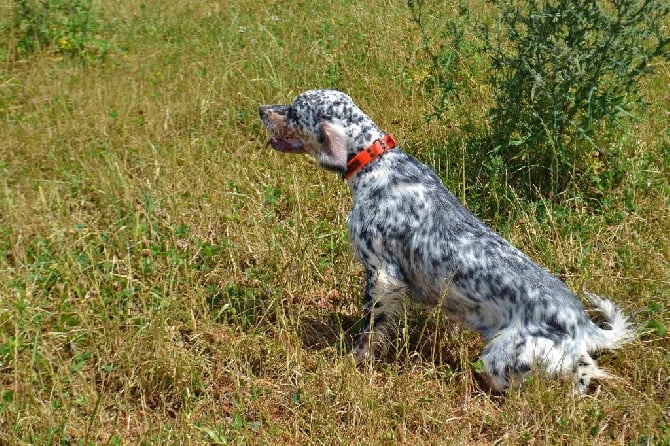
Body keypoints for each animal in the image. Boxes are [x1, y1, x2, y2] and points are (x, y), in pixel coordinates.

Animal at [258, 89, 636, 394]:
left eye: (294, 111)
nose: (261, 109)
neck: (376, 163)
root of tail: (581, 323)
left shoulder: (381, 274)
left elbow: (369, 329)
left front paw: (357, 360)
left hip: (500, 357)